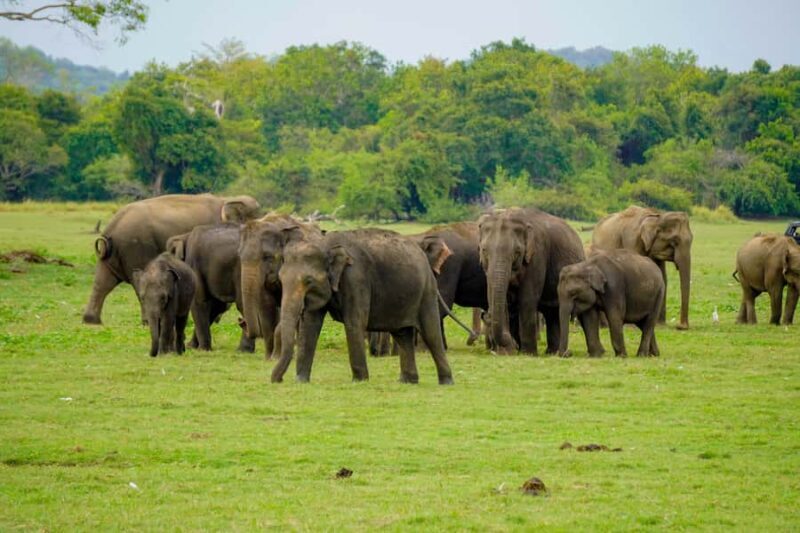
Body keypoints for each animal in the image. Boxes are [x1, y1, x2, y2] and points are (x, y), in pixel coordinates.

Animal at [83, 194, 260, 325]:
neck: (227, 199)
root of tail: (111, 228)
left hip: (114, 254)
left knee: (102, 282)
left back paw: (91, 321)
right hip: (136, 247)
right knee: (138, 281)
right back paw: (148, 321)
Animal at [238, 213, 322, 358]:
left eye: (267, 257)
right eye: (239, 255)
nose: (241, 321)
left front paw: (275, 357)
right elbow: (266, 308)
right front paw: (268, 358)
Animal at [271, 229, 454, 385]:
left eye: (308, 281)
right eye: (280, 280)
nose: (278, 380)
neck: (326, 243)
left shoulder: (355, 278)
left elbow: (354, 322)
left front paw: (359, 381)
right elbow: (310, 325)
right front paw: (301, 381)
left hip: (427, 291)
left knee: (431, 332)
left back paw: (446, 382)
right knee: (402, 334)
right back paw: (407, 381)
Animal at [478, 207, 586, 355]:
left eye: (517, 252)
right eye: (484, 250)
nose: (513, 345)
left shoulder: (538, 255)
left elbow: (527, 299)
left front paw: (527, 354)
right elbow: (496, 297)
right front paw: (506, 353)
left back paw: (553, 352)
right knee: (551, 312)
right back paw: (551, 352)